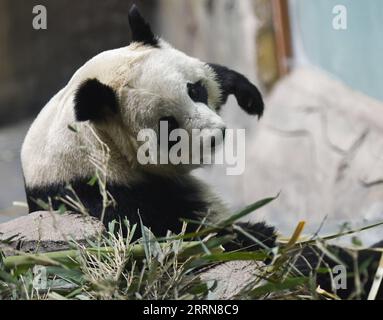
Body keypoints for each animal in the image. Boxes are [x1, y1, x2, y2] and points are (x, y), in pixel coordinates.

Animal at [22, 5, 382, 300]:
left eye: (194, 90)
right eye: (168, 125)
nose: (215, 136)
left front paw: (243, 91)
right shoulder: (105, 194)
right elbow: (169, 245)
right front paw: (255, 233)